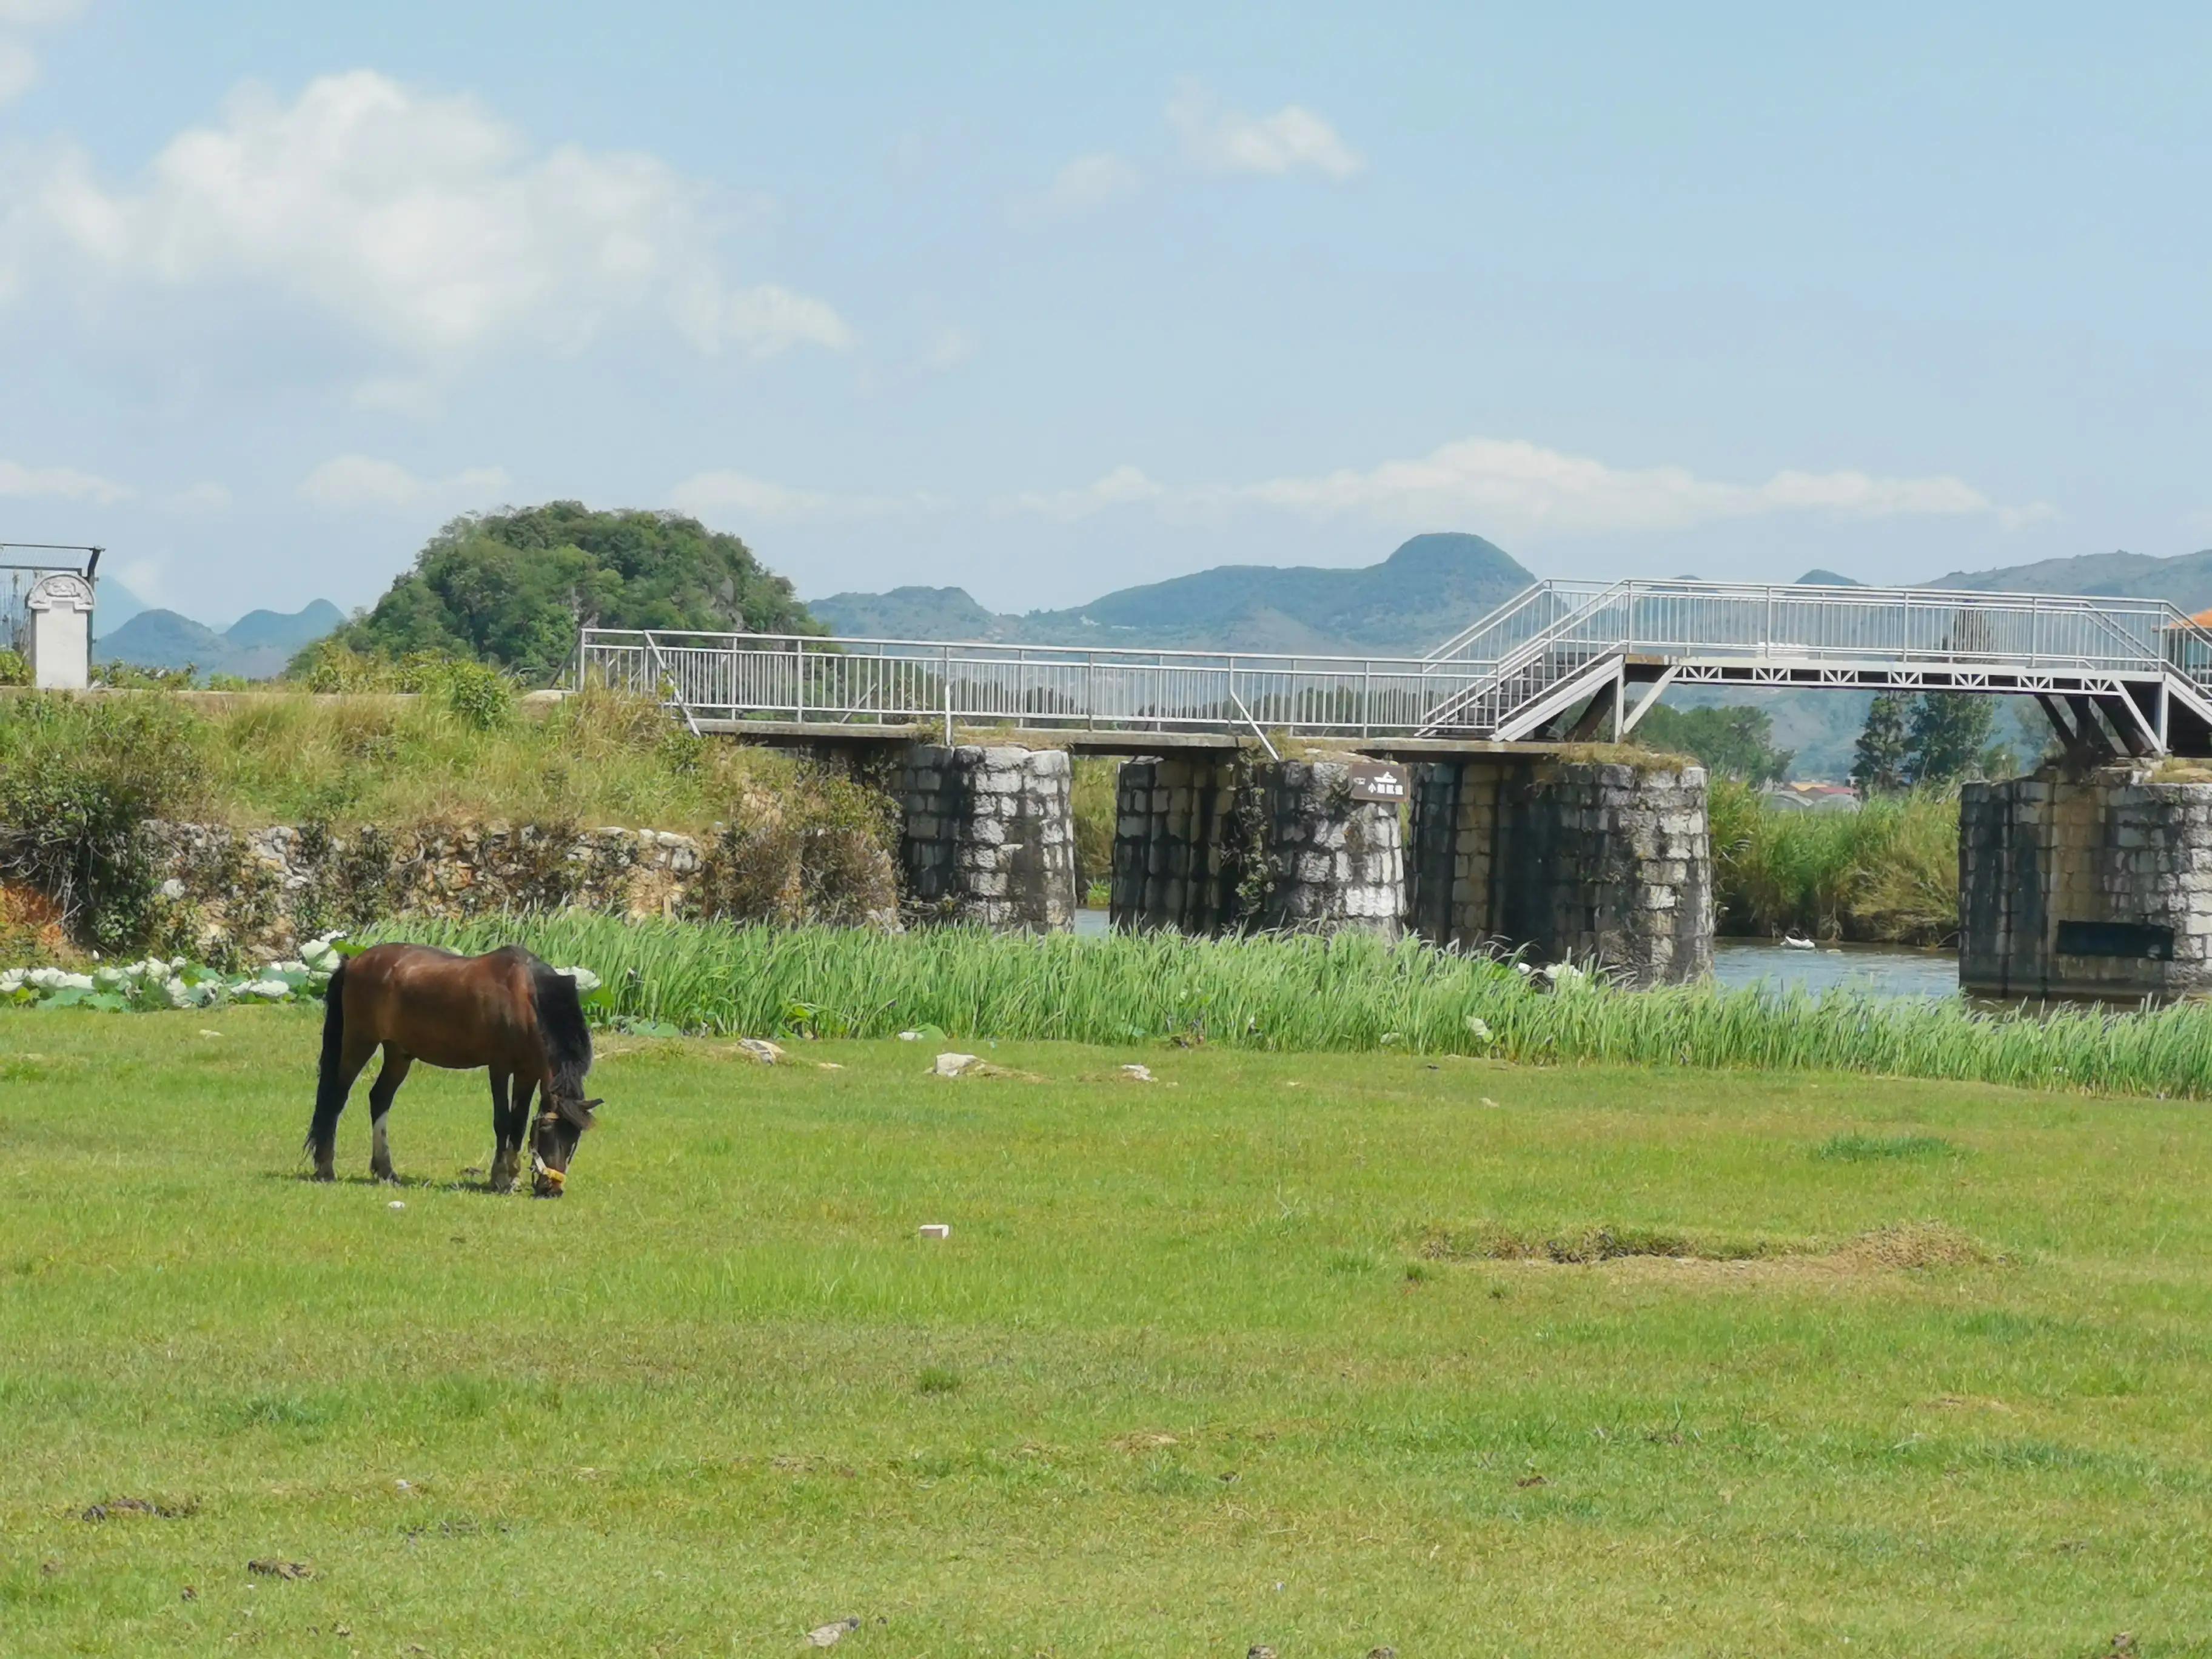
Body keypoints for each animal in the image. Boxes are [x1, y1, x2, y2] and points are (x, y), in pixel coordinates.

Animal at [303, 947, 602, 1194]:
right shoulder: (500, 1067)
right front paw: (500, 1179)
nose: (552, 1189)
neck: (526, 997)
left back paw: (386, 1171)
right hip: (360, 1042)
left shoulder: (527, 1073)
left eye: (575, 1138)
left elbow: (518, 1123)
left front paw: (512, 1177)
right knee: (336, 1097)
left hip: (399, 1053)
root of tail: (353, 962)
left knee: (380, 1098)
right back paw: (326, 1169)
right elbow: (502, 1121)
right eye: (547, 1130)